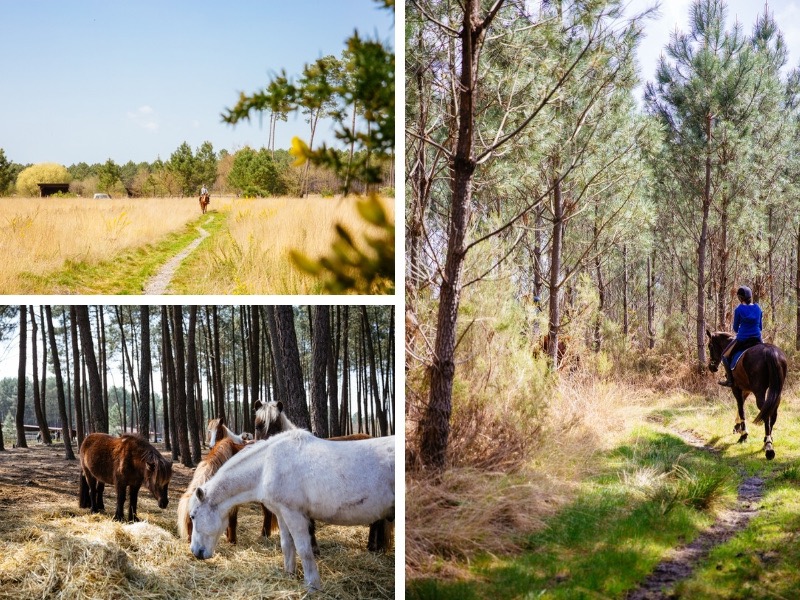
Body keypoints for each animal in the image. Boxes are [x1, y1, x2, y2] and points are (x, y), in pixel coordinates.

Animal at [189, 429, 395, 592]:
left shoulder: (294, 515)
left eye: (193, 516)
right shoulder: (282, 514)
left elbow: (304, 550)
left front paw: (313, 586)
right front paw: (289, 575)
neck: (267, 464)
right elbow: (287, 546)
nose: (196, 552)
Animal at [706, 330, 788, 460]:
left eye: (710, 346)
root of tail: (770, 351)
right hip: (777, 390)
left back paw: (768, 446)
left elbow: (741, 408)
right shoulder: (746, 389)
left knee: (764, 411)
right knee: (772, 412)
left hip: (759, 391)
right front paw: (737, 427)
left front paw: (743, 434)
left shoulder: (736, 388)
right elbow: (741, 406)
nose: (712, 367)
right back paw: (768, 440)